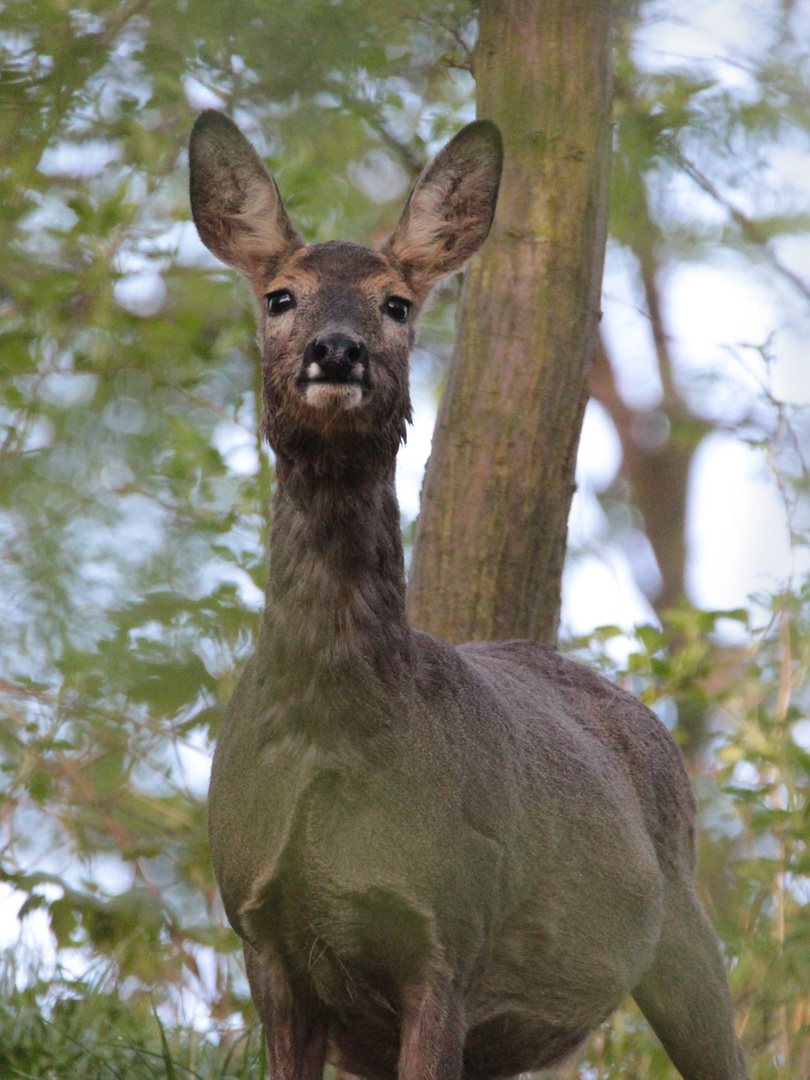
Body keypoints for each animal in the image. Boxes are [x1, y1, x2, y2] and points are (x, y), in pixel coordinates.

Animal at [189, 109, 747, 1080]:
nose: (339, 351)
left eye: (397, 303)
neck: (330, 730)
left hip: (678, 915)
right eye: (281, 297)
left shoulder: (446, 931)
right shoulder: (260, 931)